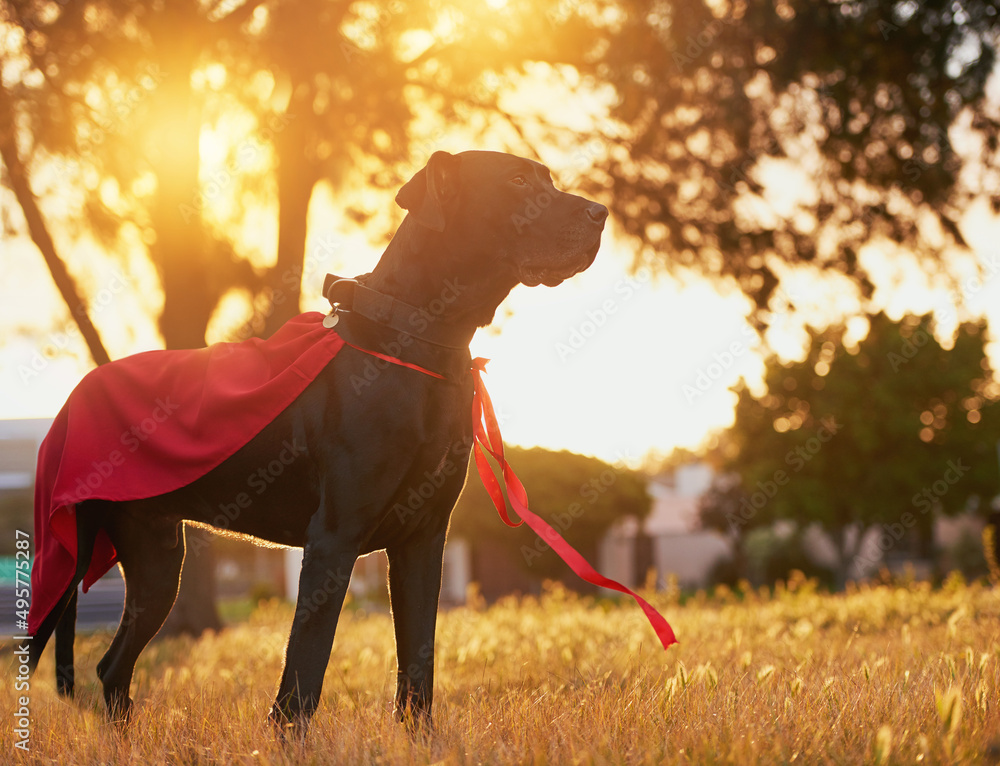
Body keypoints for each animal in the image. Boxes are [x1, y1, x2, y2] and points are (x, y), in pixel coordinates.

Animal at [29, 148, 608, 732]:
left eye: (547, 179)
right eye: (516, 181)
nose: (600, 213)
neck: (418, 336)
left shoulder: (423, 537)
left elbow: (418, 661)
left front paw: (421, 739)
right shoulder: (334, 536)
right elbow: (305, 668)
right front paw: (287, 738)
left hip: (157, 559)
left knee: (113, 666)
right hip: (67, 560)